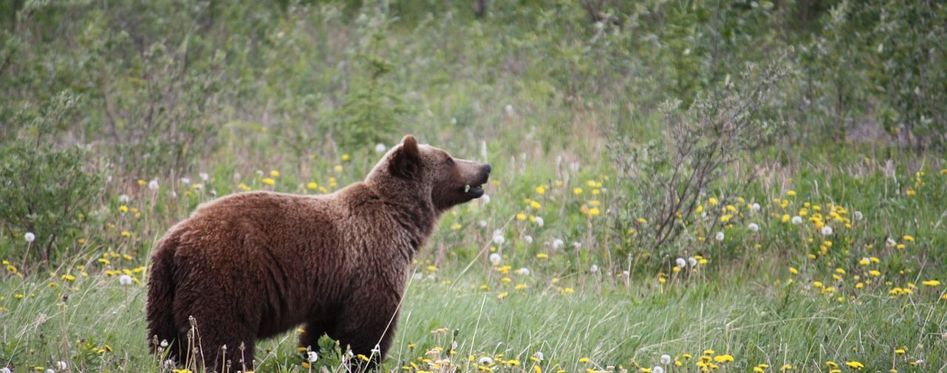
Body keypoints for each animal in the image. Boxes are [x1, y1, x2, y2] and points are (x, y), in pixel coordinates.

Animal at [144, 136, 492, 370]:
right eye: (449, 158)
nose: (485, 167)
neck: (402, 219)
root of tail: (175, 242)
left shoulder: (335, 286)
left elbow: (321, 332)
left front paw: (315, 356)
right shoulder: (373, 261)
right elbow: (367, 329)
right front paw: (362, 361)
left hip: (163, 294)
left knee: (167, 345)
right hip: (225, 278)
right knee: (223, 341)